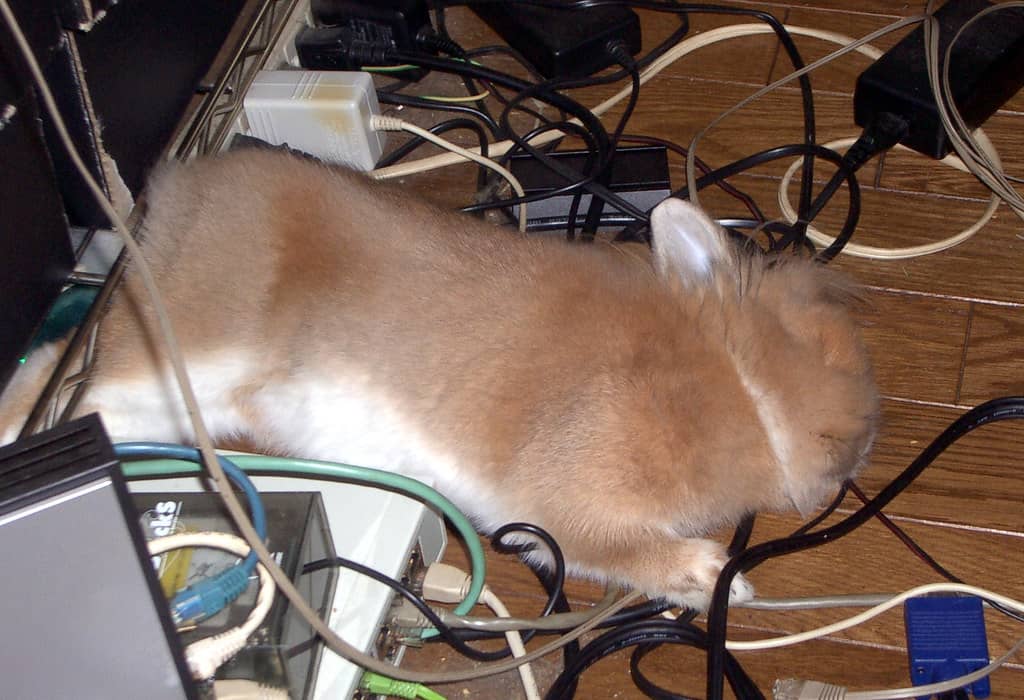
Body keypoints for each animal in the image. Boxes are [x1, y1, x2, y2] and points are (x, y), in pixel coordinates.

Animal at [0, 149, 880, 614]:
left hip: (170, 404)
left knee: (61, 373)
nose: (865, 440)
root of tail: (170, 201)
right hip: (182, 347)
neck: (728, 374)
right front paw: (713, 579)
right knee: (74, 380)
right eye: (823, 348)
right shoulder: (562, 500)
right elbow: (611, 546)